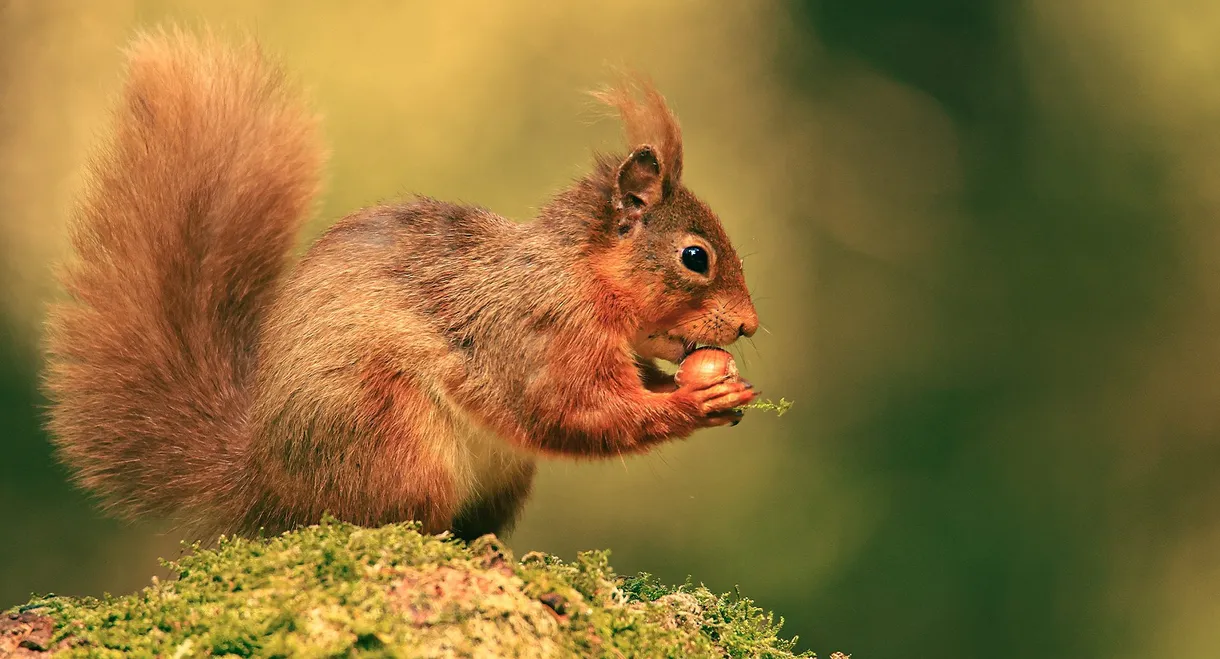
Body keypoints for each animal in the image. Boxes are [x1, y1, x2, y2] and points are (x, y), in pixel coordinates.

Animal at [44, 28, 759, 542]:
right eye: (695, 257)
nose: (749, 326)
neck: (575, 274)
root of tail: (264, 484)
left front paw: (721, 388)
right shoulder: (537, 333)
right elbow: (572, 411)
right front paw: (694, 400)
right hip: (391, 438)